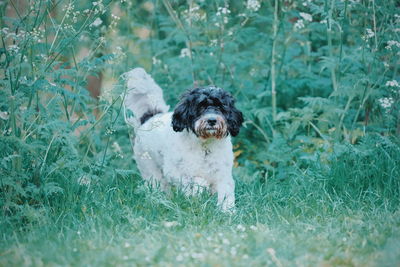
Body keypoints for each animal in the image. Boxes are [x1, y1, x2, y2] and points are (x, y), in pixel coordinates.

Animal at [122, 68, 244, 211]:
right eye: (200, 107)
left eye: (220, 107)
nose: (212, 120)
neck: (204, 146)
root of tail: (150, 117)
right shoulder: (174, 172)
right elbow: (195, 182)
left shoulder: (223, 174)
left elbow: (226, 194)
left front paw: (227, 211)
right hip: (150, 169)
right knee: (157, 185)